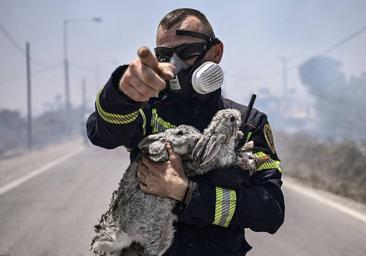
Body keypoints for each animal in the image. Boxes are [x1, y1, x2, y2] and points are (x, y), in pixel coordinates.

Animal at [91, 108, 250, 256]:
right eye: (180, 133)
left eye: (197, 130)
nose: (199, 139)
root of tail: (125, 233)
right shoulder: (191, 164)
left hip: (165, 236)